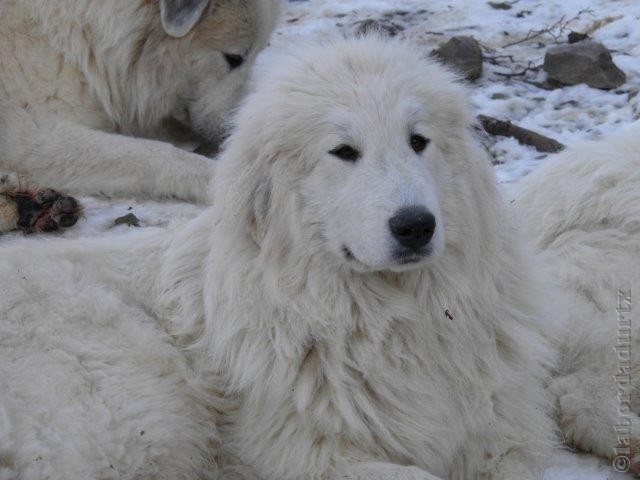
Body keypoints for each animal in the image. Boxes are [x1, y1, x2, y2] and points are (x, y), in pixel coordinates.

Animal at [1, 36, 640, 480]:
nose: (415, 225)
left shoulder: (496, 437)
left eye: (418, 141)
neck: (387, 320)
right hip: (138, 414)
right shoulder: (308, 457)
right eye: (344, 152)